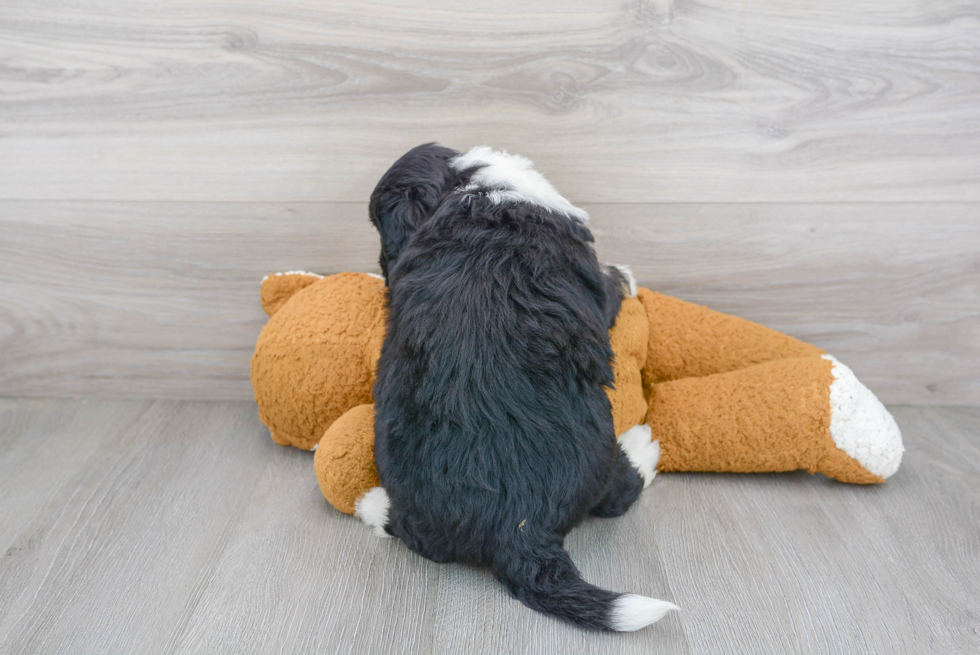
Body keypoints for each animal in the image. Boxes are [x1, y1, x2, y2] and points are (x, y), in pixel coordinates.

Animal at [360, 146, 672, 632]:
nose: (381, 269)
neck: (469, 186)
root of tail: (517, 527)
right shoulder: (595, 291)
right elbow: (610, 286)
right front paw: (625, 272)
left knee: (414, 534)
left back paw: (373, 505)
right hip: (600, 461)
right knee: (620, 493)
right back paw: (643, 447)